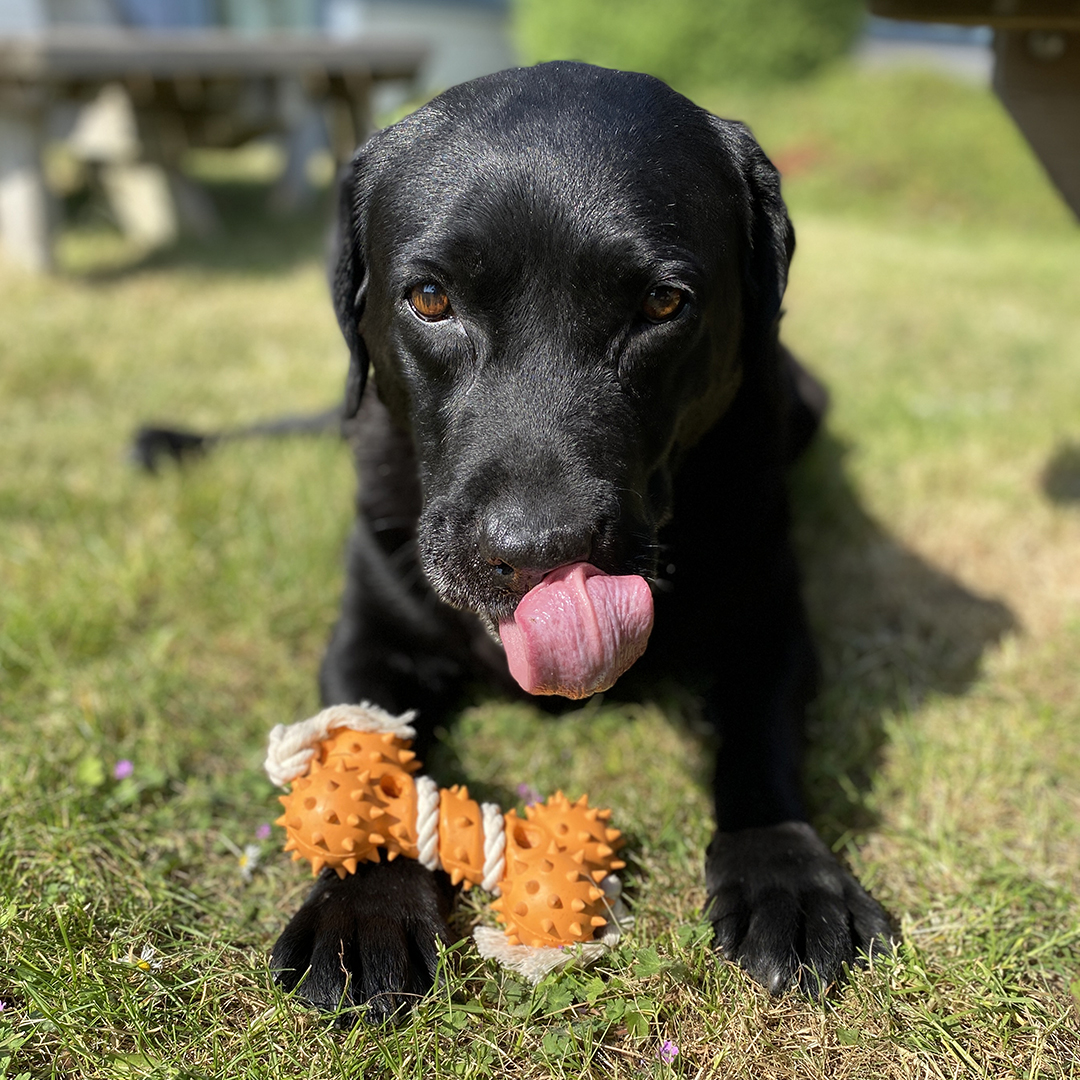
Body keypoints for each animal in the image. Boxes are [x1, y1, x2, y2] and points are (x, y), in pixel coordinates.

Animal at [265, 63, 889, 1015]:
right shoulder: (369, 636)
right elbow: (363, 756)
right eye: (431, 298)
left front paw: (786, 873)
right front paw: (363, 909)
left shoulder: (769, 624)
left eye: (664, 303)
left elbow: (761, 741)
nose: (540, 554)